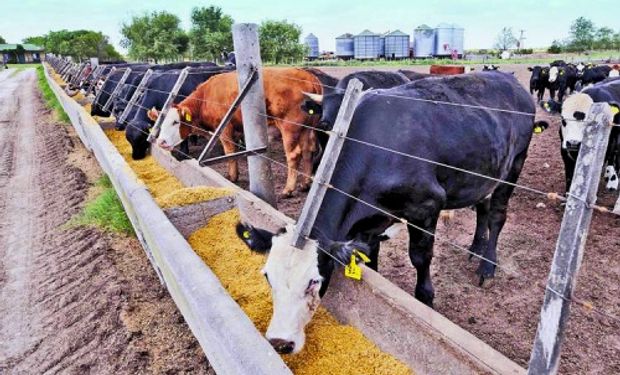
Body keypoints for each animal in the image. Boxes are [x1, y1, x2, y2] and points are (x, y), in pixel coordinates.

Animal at [155, 68, 326, 197]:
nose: (160, 142)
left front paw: (232, 177)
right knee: (308, 151)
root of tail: (308, 76)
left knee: (294, 155)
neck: (205, 97)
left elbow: (229, 152)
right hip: (307, 129)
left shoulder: (225, 129)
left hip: (290, 128)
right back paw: (305, 184)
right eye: (161, 123)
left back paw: (288, 189)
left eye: (175, 122)